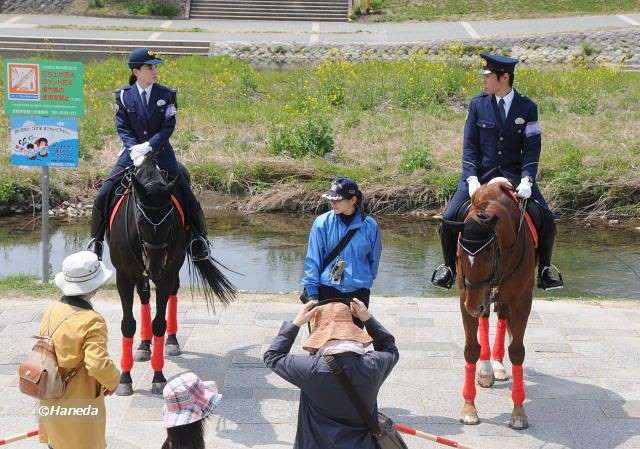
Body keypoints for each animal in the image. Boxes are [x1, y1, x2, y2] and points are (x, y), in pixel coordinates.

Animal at [106, 156, 236, 394]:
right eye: (140, 219)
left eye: (169, 221)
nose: (155, 266)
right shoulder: (124, 276)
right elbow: (128, 324)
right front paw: (125, 379)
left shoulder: (166, 273)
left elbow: (160, 322)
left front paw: (158, 376)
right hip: (141, 274)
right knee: (144, 296)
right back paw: (143, 345)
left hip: (173, 266)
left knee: (172, 292)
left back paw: (172, 342)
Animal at [440, 177, 536, 428]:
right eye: (459, 256)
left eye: (488, 257)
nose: (474, 306)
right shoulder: (465, 297)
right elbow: (471, 349)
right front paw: (469, 409)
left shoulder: (522, 299)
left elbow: (517, 351)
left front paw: (519, 412)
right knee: (485, 318)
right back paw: (486, 370)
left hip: (497, 296)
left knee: (501, 317)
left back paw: (498, 366)